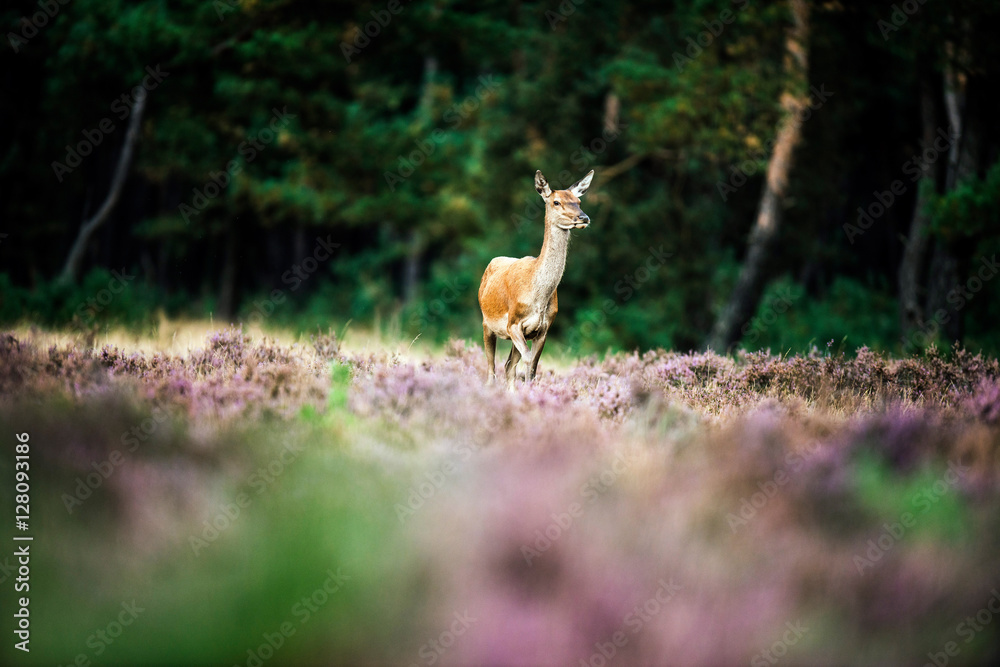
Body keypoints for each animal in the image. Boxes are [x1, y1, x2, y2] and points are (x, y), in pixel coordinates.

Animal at [478, 169, 595, 388]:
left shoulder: (544, 328)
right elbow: (527, 360)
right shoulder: (513, 323)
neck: (537, 297)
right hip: (486, 323)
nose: (584, 218)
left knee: (508, 366)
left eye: (578, 201)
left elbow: (532, 367)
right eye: (556, 202)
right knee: (491, 368)